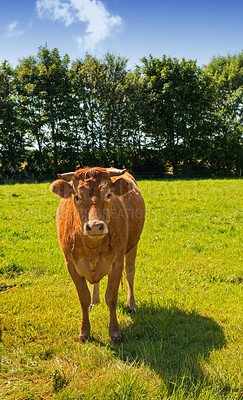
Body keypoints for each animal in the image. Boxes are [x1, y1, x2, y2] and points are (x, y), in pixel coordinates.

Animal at [49, 167, 144, 342]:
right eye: (77, 196)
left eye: (108, 194)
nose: (94, 226)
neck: (92, 247)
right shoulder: (71, 265)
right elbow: (83, 298)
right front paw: (84, 332)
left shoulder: (117, 263)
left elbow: (111, 298)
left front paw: (115, 333)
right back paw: (95, 301)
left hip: (133, 245)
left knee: (130, 273)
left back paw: (131, 304)